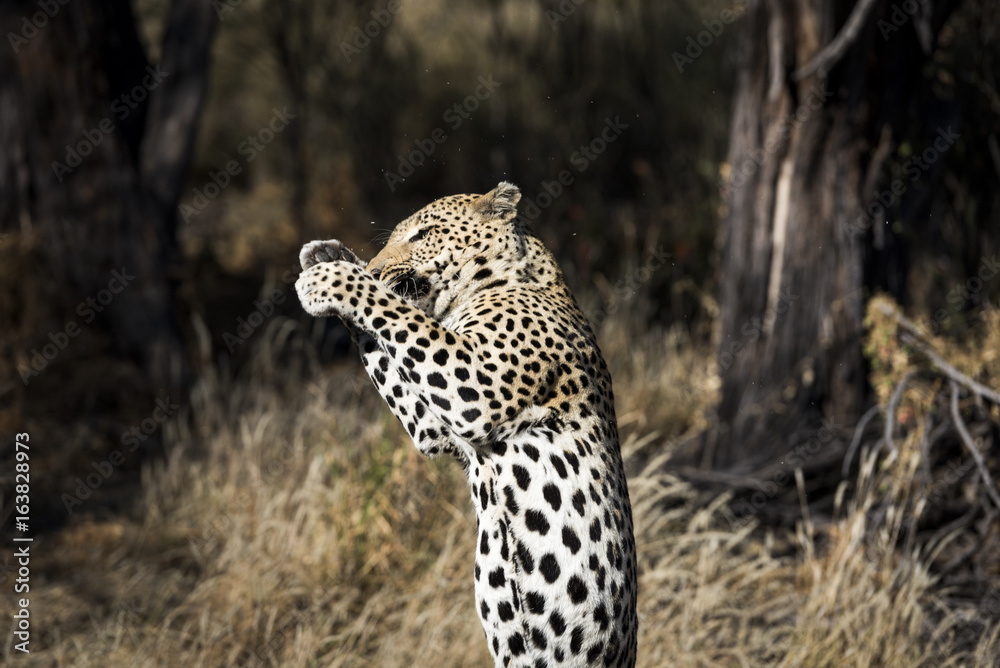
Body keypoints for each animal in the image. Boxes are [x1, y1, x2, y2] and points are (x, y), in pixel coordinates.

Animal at [295, 182, 637, 667]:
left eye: (422, 234)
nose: (378, 266)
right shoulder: (434, 425)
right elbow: (385, 339)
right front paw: (328, 256)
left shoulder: (476, 385)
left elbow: (396, 311)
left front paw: (333, 278)